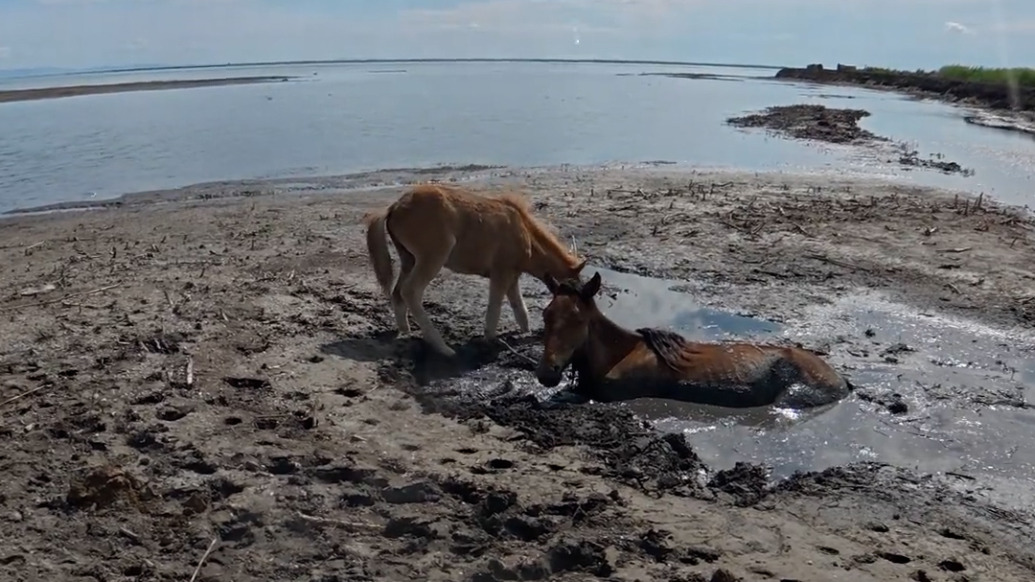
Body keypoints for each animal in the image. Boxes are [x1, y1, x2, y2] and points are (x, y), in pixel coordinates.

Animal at [364, 183, 587, 357]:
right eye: (575, 289)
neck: (524, 232)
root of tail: (395, 207)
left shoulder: (512, 276)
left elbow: (519, 307)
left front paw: (525, 332)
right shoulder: (501, 272)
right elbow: (495, 305)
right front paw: (490, 338)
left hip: (408, 259)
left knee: (397, 292)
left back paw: (405, 332)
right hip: (432, 257)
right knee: (410, 291)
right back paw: (443, 348)